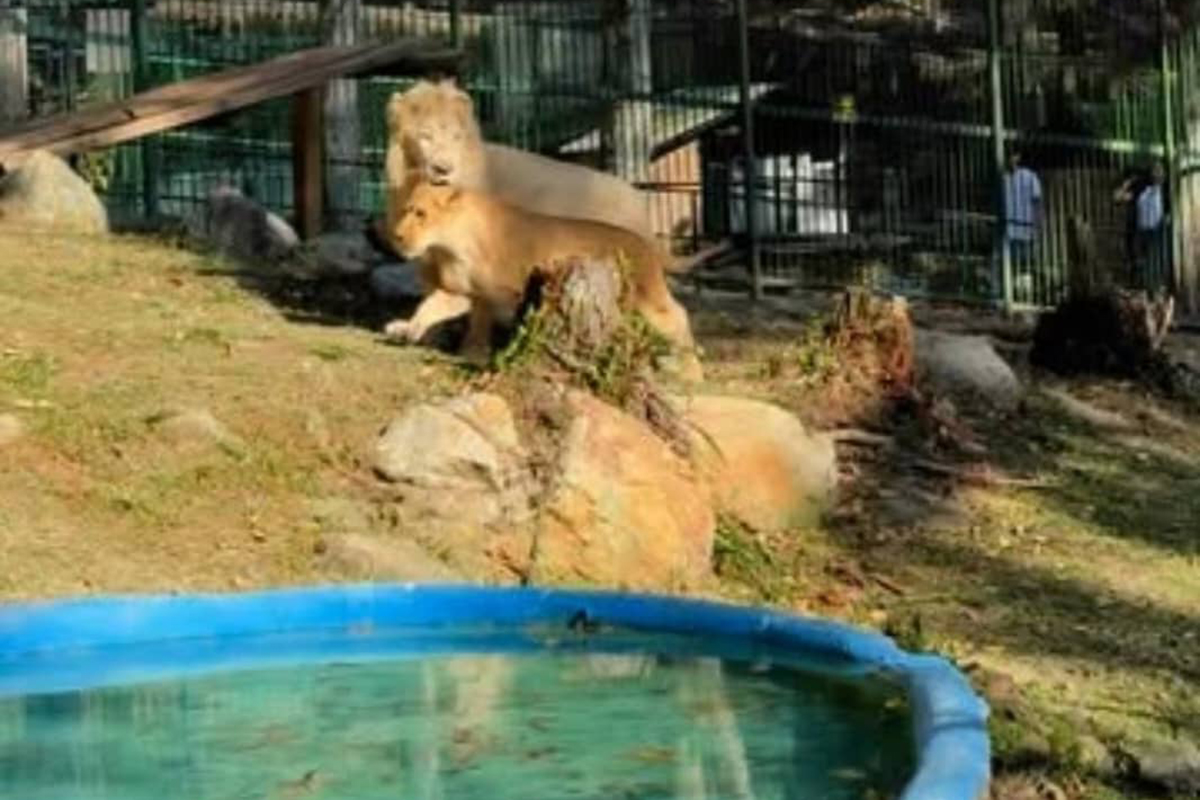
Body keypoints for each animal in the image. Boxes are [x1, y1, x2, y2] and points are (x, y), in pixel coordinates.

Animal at [374, 76, 657, 345]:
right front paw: (427, 337)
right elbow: (431, 296)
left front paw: (473, 350)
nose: (444, 169)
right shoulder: (429, 258)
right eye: (425, 135)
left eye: (456, 137)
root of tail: (638, 197)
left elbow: (480, 310)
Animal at [388, 181, 700, 381]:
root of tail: (646, 242)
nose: (397, 236)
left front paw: (484, 353)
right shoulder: (465, 291)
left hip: (647, 296)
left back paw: (692, 371)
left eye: (421, 214)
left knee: (678, 315)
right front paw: (409, 329)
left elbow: (494, 319)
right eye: (406, 210)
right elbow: (431, 307)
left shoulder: (510, 292)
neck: (452, 244)